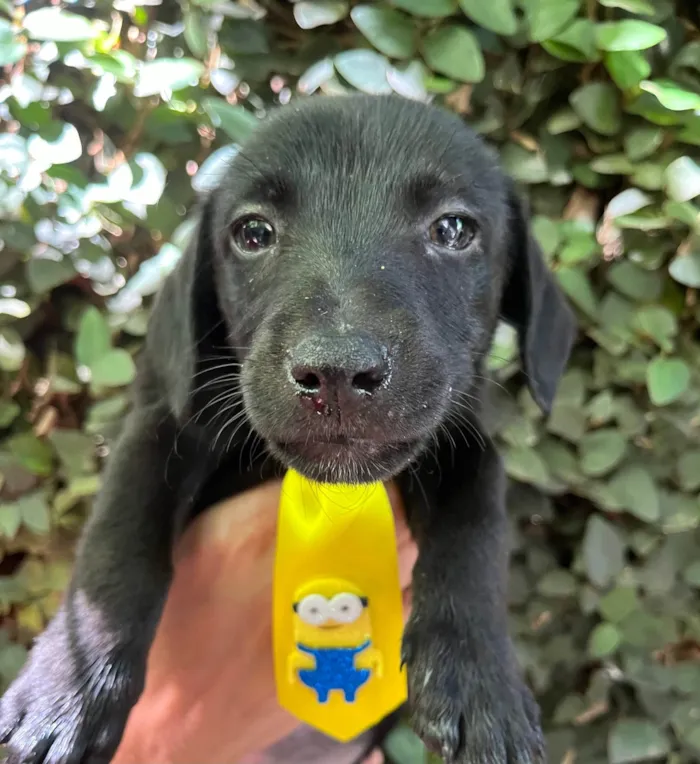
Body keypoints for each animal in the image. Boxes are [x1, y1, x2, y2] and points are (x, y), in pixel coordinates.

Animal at [1, 95, 576, 764]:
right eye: (253, 233)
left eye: (454, 230)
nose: (337, 371)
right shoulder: (161, 427)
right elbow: (120, 539)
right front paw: (66, 689)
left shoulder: (460, 443)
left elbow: (476, 525)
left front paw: (481, 681)